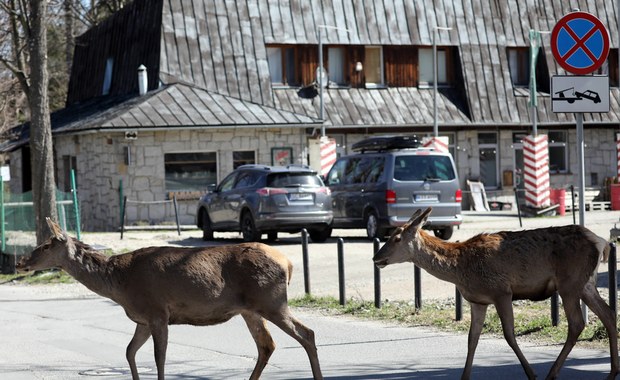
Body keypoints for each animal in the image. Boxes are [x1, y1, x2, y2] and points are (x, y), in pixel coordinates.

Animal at [17, 218, 322, 380]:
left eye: (46, 245)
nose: (20, 262)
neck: (119, 286)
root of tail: (288, 263)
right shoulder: (141, 319)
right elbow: (129, 351)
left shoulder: (157, 312)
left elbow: (159, 356)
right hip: (251, 309)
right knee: (267, 345)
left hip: (272, 301)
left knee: (306, 333)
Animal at [370, 208, 616, 380]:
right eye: (390, 235)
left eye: (397, 238)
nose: (376, 258)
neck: (461, 269)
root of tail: (601, 242)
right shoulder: (477, 301)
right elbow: (472, 339)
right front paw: (464, 376)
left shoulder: (501, 291)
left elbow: (509, 335)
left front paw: (531, 373)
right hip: (585, 284)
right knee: (608, 314)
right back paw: (612, 372)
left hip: (569, 283)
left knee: (577, 323)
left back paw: (551, 373)